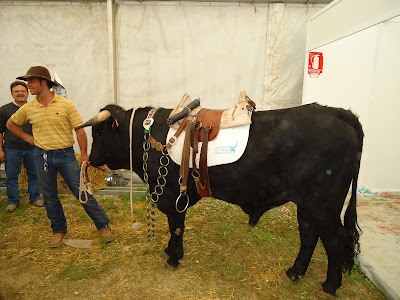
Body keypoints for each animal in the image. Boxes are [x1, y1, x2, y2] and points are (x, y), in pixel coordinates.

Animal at [83, 103, 364, 296]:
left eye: (98, 134)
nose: (91, 158)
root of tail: (335, 112)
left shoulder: (174, 196)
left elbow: (176, 227)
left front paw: (173, 257)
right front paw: (169, 251)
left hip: (324, 206)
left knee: (335, 240)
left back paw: (330, 285)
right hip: (307, 205)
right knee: (309, 235)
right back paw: (295, 273)